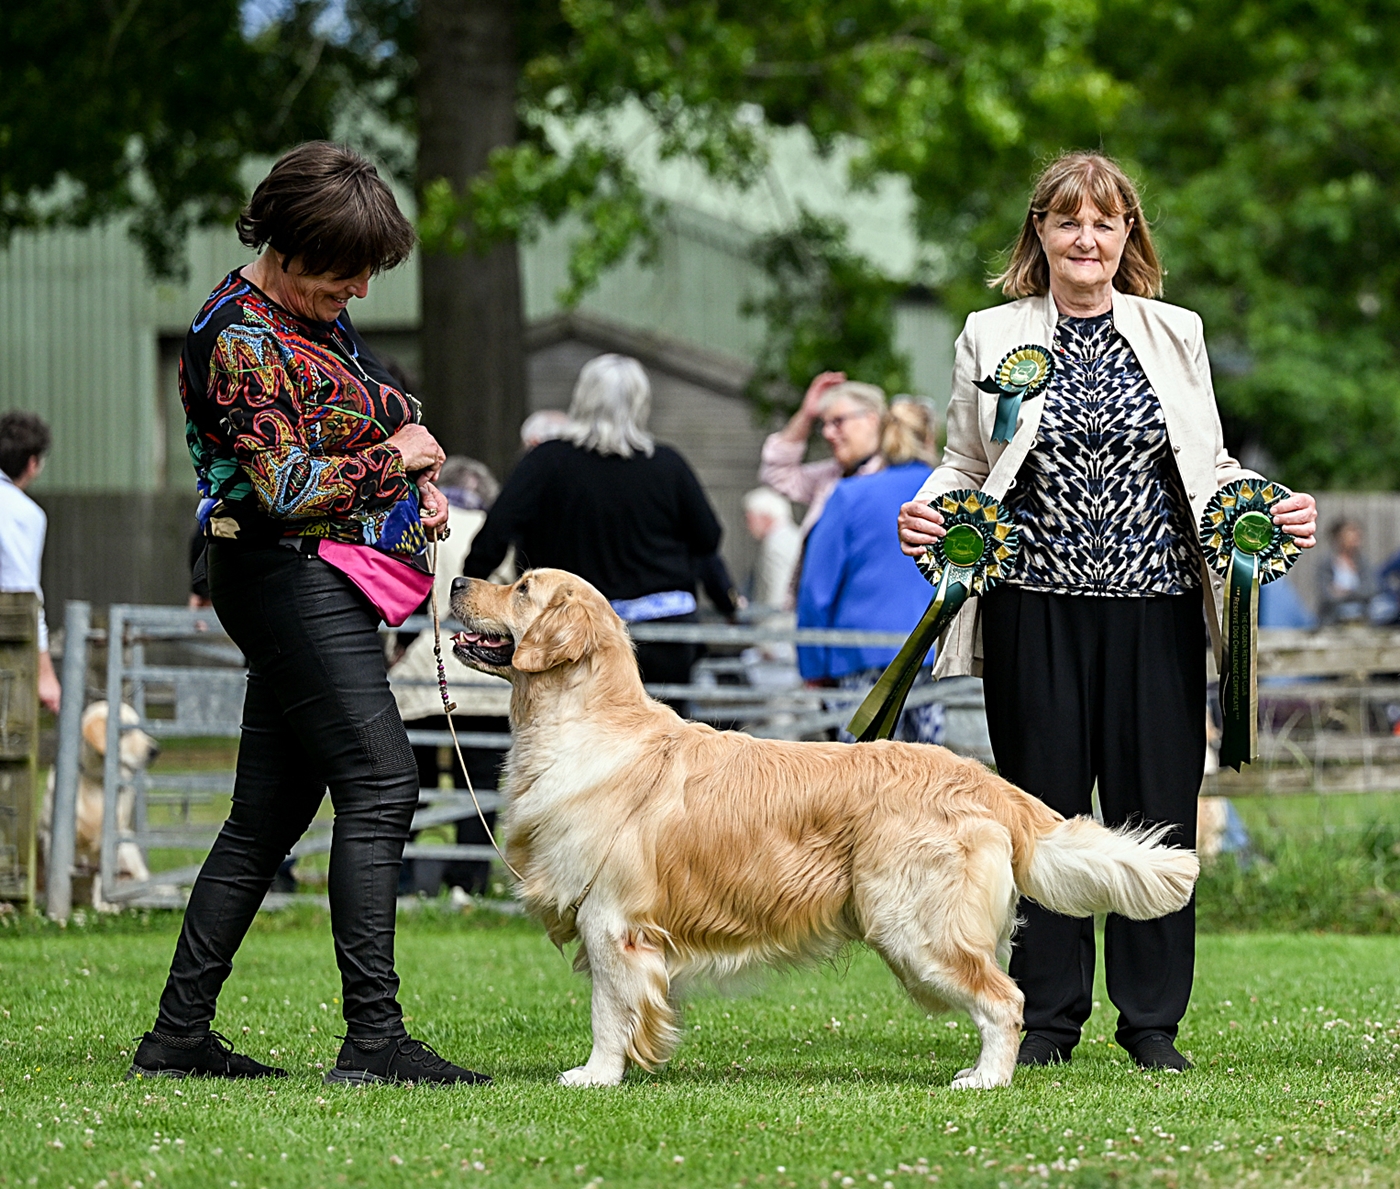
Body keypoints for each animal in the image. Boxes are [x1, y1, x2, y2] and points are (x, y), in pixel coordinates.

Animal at [41, 701, 159, 909]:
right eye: (126, 730)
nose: (155, 750)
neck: (96, 779)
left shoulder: (110, 839)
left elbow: (102, 875)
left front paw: (103, 905)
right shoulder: (51, 836)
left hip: (127, 846)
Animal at [450, 570, 1199, 1090]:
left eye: (522, 586)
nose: (454, 580)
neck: (584, 724)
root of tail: (982, 778)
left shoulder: (612, 920)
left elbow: (608, 1012)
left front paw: (596, 1076)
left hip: (914, 926)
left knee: (1004, 997)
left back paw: (986, 1078)